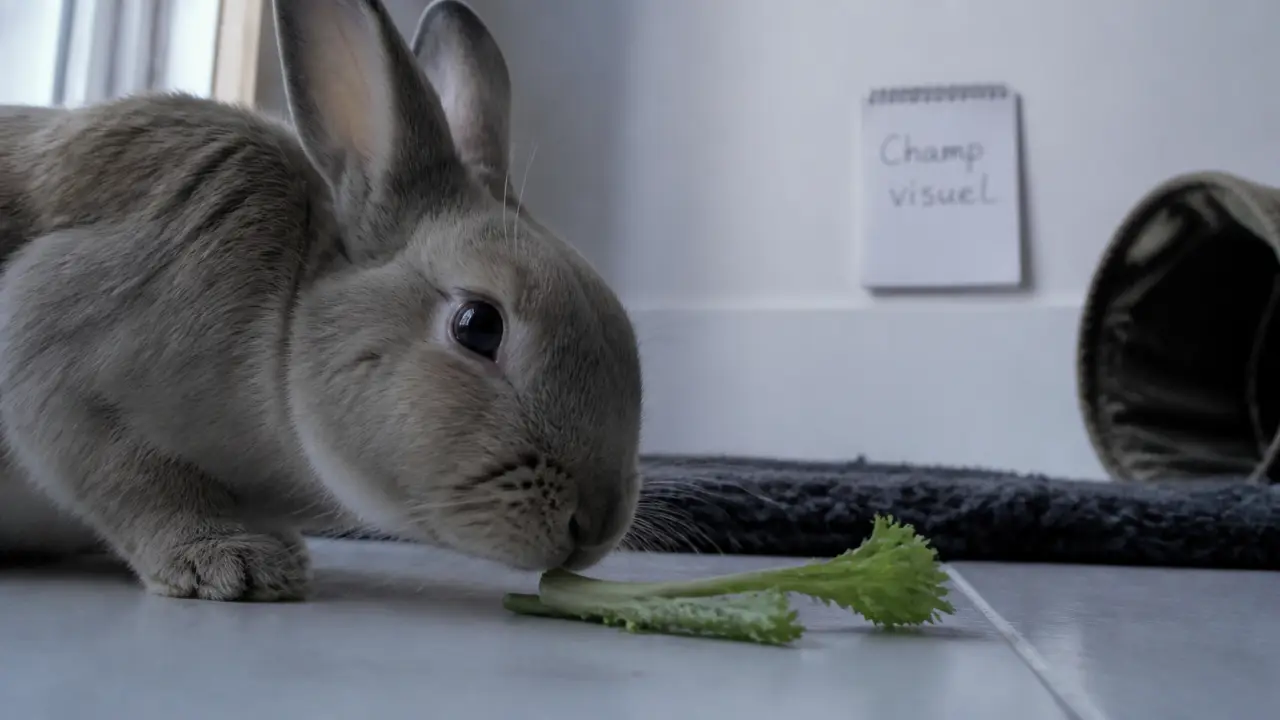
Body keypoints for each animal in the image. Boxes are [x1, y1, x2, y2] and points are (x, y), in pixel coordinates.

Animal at [0, 0, 643, 601]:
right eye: (478, 326)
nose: (597, 525)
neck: (284, 315)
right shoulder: (56, 349)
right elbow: (139, 481)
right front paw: (235, 562)